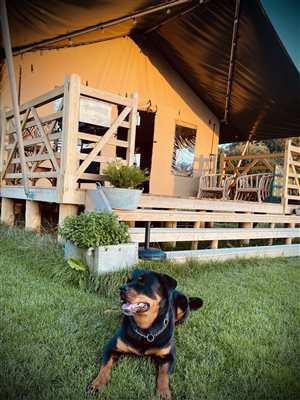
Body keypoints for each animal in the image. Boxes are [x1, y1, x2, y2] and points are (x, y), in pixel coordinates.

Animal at [88, 268, 203, 400]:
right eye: (128, 280)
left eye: (142, 283)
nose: (121, 288)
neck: (145, 330)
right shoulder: (111, 347)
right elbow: (105, 367)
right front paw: (97, 383)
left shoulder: (170, 356)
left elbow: (164, 374)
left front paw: (164, 392)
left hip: (183, 303)